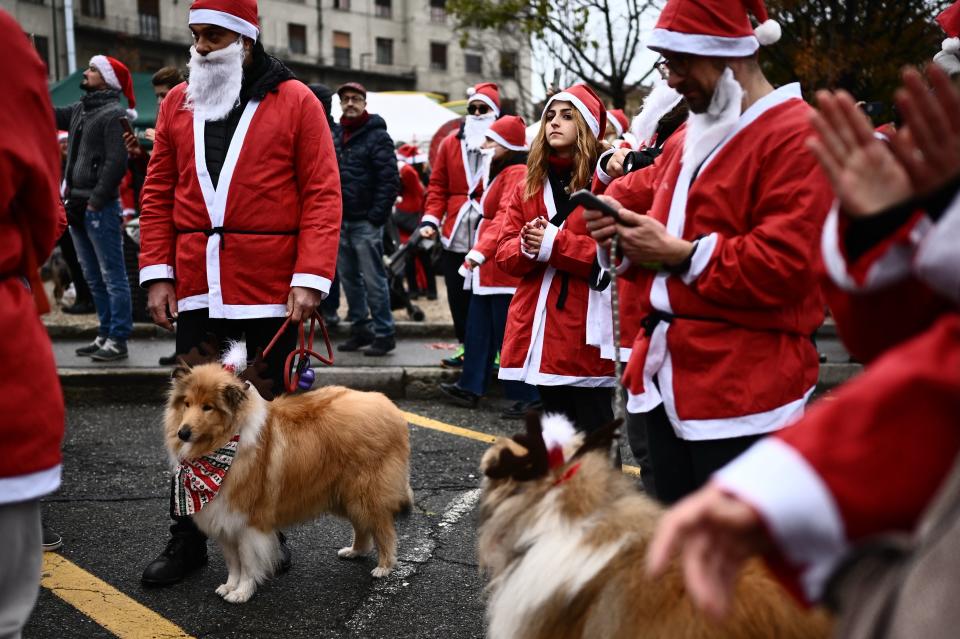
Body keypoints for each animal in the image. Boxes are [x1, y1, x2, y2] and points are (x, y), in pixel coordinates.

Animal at [165, 362, 412, 604]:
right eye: (187, 403)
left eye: (208, 407)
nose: (183, 433)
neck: (225, 447)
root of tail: (389, 407)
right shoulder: (225, 521)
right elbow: (233, 562)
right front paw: (229, 586)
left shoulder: (247, 522)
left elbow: (247, 563)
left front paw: (242, 592)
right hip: (345, 496)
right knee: (362, 526)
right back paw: (354, 551)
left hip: (366, 494)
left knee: (384, 529)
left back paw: (384, 567)